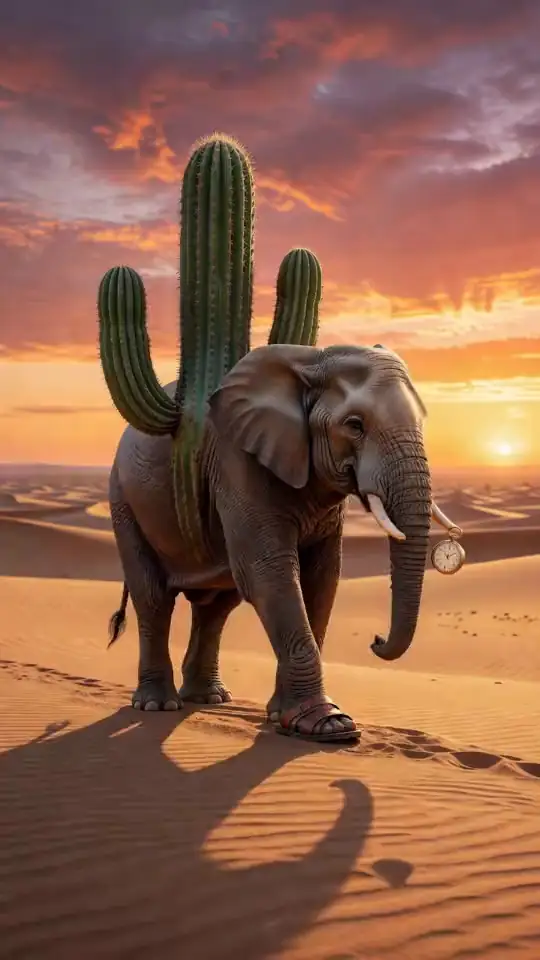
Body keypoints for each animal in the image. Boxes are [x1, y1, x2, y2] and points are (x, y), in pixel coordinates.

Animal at [108, 341, 459, 742]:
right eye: (354, 426)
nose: (376, 640)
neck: (313, 361)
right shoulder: (237, 461)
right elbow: (269, 573)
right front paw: (329, 726)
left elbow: (322, 578)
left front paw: (285, 717)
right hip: (124, 499)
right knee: (152, 597)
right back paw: (157, 705)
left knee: (217, 608)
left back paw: (209, 698)